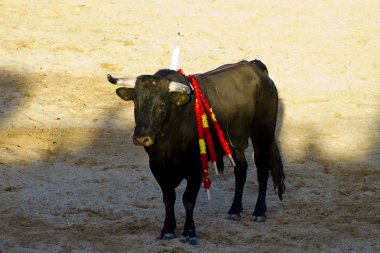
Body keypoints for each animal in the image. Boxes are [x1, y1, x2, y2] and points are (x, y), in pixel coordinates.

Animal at [107, 60, 284, 244]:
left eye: (161, 105)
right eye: (136, 103)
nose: (142, 138)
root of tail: (254, 66)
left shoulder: (196, 169)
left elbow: (188, 200)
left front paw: (189, 232)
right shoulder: (157, 167)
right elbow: (168, 198)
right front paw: (168, 230)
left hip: (263, 134)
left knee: (262, 171)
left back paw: (259, 212)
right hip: (235, 143)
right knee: (241, 170)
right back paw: (234, 210)